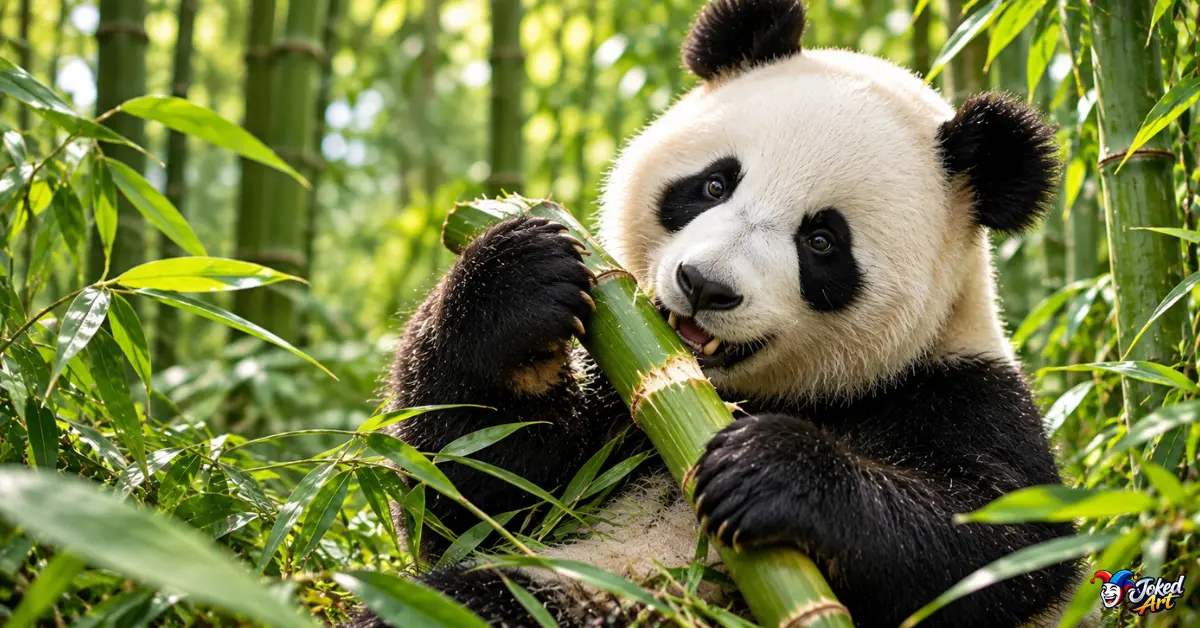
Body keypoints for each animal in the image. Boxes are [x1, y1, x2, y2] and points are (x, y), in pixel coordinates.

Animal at [351, 0, 1085, 626]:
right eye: (712, 184)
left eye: (822, 242)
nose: (704, 285)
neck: (725, 394)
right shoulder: (616, 394)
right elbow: (473, 491)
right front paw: (519, 281)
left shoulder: (961, 396)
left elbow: (1002, 549)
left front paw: (769, 469)